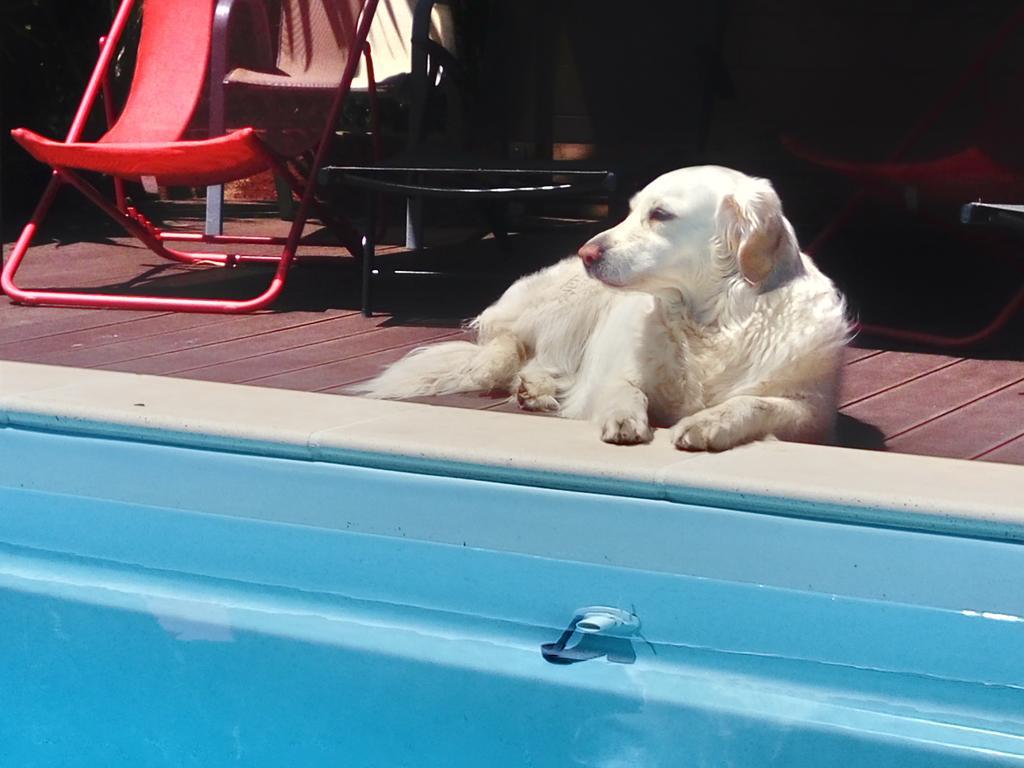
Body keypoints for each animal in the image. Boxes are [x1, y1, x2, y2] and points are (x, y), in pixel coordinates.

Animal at [356, 165, 851, 448]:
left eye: (660, 215)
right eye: (630, 210)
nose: (587, 252)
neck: (710, 323)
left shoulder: (811, 412)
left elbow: (754, 403)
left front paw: (707, 424)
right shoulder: (621, 371)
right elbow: (623, 390)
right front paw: (623, 418)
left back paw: (537, 390)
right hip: (565, 301)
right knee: (513, 345)